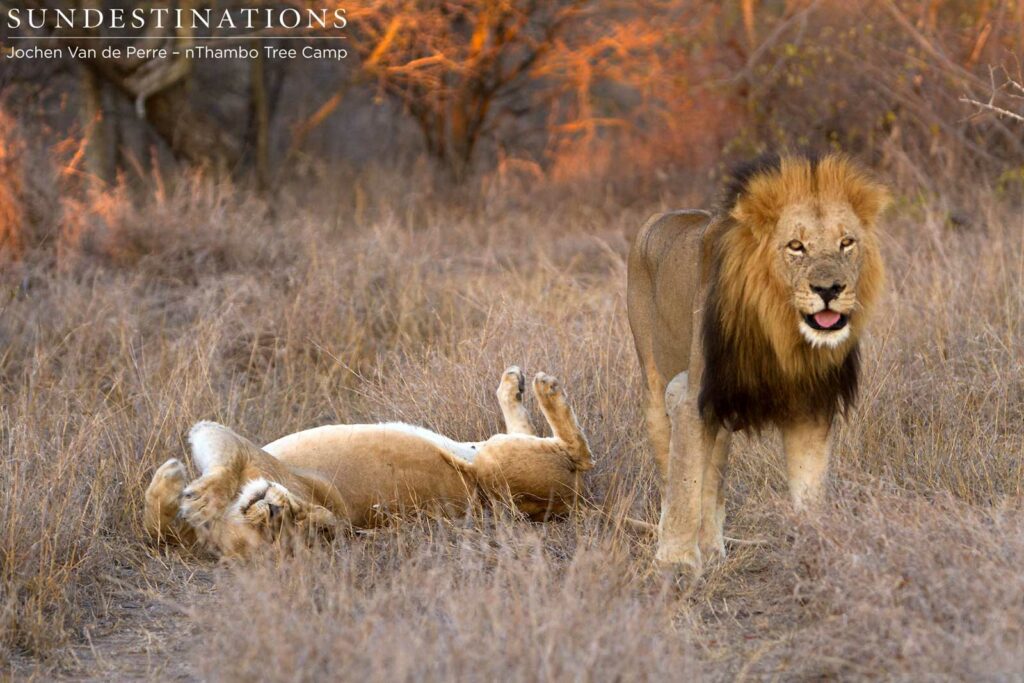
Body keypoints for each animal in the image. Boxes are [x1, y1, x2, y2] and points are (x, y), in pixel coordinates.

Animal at [144, 367, 593, 559]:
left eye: (291, 520)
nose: (272, 510)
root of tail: (578, 503)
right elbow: (160, 532)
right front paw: (175, 489)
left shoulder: (239, 446)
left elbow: (220, 467)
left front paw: (188, 490)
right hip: (496, 458)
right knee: (561, 446)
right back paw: (522, 384)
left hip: (493, 465)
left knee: (581, 454)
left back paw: (538, 386)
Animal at [627, 153, 889, 571]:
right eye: (796, 247)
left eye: (846, 243)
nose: (829, 289)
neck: (781, 332)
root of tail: (662, 215)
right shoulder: (692, 396)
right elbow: (684, 482)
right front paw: (677, 563)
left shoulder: (811, 406)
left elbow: (809, 488)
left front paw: (818, 551)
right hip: (655, 387)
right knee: (670, 471)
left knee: (713, 479)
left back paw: (713, 549)